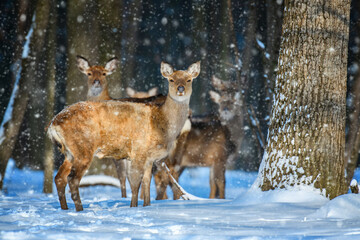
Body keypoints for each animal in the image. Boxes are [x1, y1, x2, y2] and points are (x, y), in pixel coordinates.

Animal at [46, 61, 201, 211]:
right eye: (171, 79)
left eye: (189, 79)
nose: (180, 89)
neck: (161, 124)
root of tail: (53, 123)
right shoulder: (138, 150)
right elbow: (135, 183)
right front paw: (133, 207)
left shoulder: (149, 158)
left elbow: (146, 182)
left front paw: (146, 206)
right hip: (83, 147)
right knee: (72, 179)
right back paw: (80, 210)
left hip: (70, 152)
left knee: (59, 177)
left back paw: (65, 209)